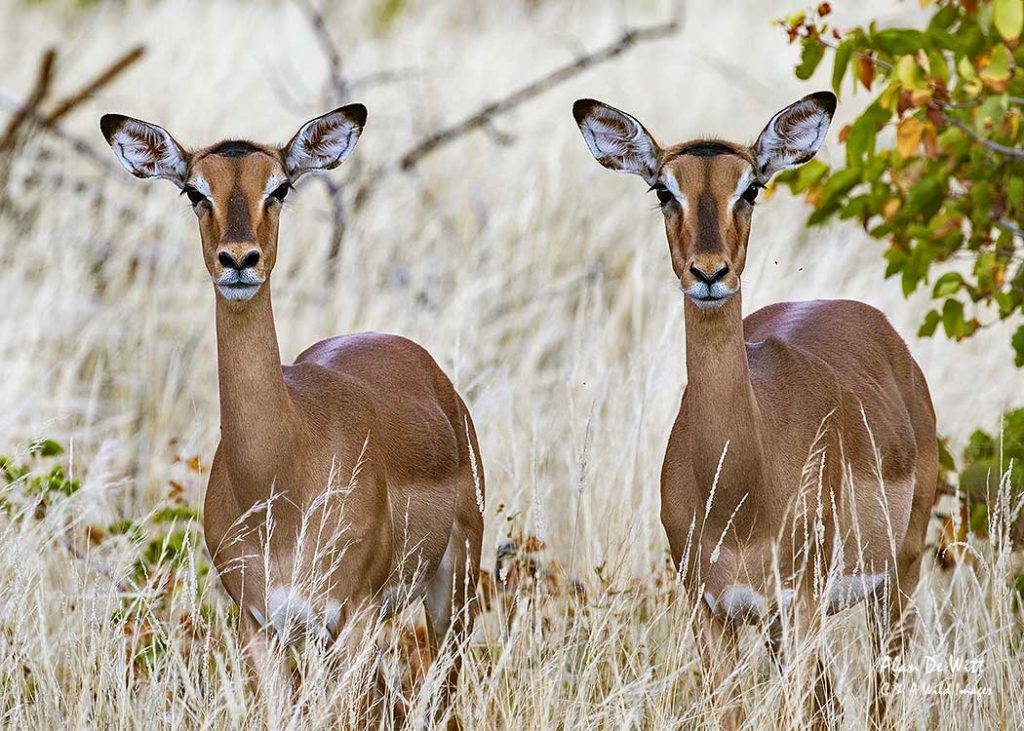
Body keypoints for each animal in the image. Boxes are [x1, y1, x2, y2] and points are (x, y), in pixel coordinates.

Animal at [100, 106, 484, 702]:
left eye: (279, 187)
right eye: (194, 191)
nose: (239, 260)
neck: (280, 476)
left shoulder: (354, 614)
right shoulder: (260, 625)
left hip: (452, 589)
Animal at [573, 92, 937, 729]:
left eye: (750, 188)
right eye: (663, 190)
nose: (709, 272)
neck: (740, 494)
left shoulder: (802, 603)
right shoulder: (712, 612)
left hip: (897, 581)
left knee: (878, 700)